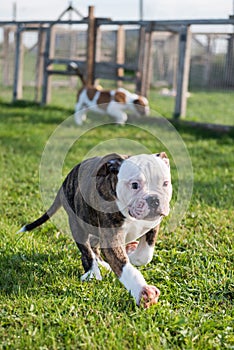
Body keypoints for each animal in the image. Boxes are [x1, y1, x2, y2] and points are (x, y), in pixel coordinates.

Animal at [17, 152, 172, 308]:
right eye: (134, 185)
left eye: (165, 183)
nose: (154, 199)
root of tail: (66, 180)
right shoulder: (111, 238)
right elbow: (123, 265)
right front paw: (142, 291)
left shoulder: (153, 225)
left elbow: (145, 255)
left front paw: (132, 253)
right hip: (77, 224)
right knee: (86, 250)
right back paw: (93, 270)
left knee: (93, 245)